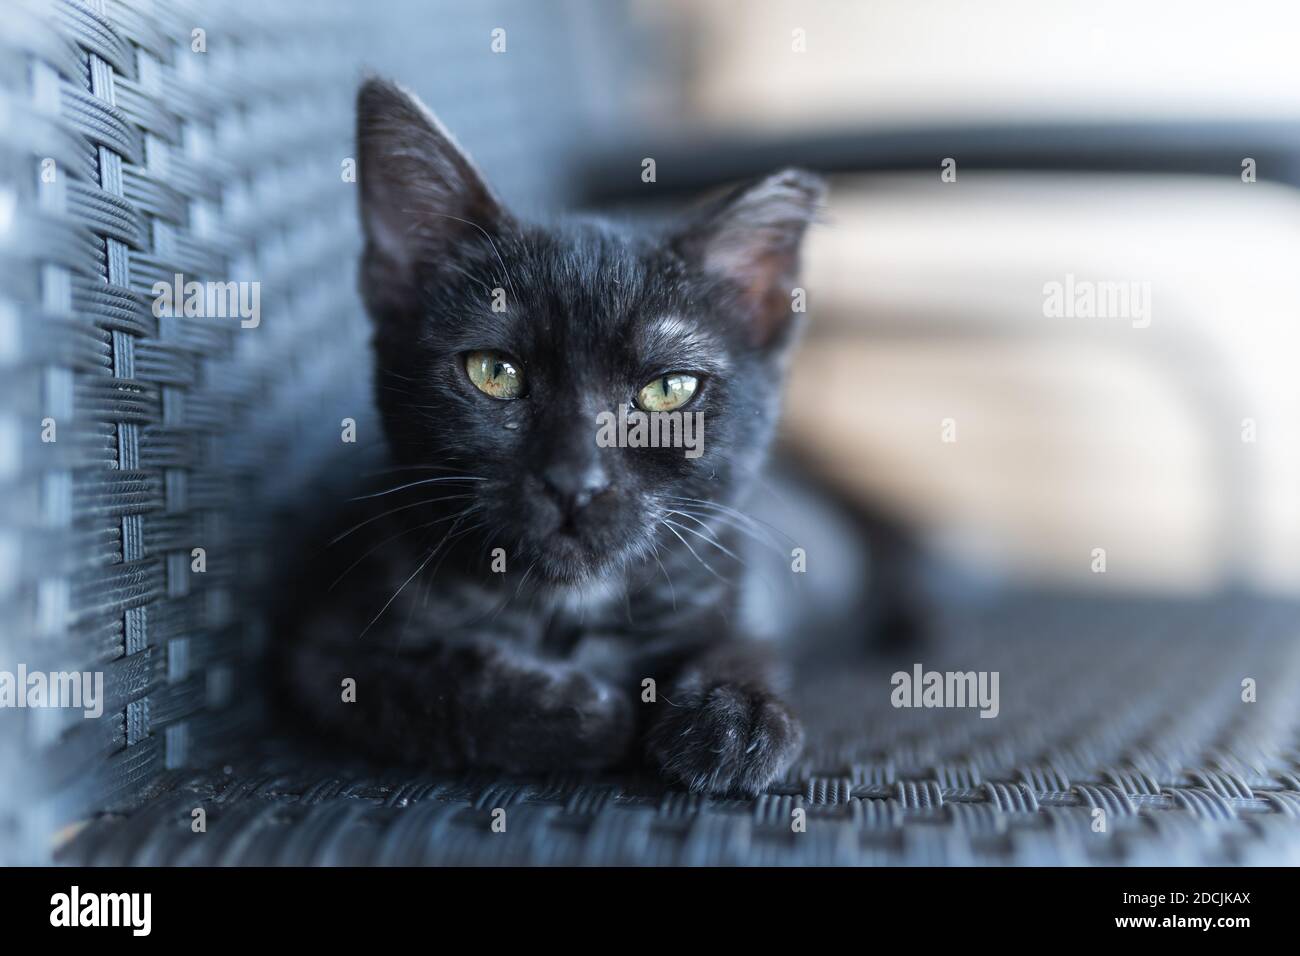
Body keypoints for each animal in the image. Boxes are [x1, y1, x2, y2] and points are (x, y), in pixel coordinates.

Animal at [289, 80, 826, 801]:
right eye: (494, 372)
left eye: (669, 390)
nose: (575, 480)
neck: (567, 606)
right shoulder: (325, 654)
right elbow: (430, 688)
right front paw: (576, 710)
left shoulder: (736, 580)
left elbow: (745, 643)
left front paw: (736, 714)